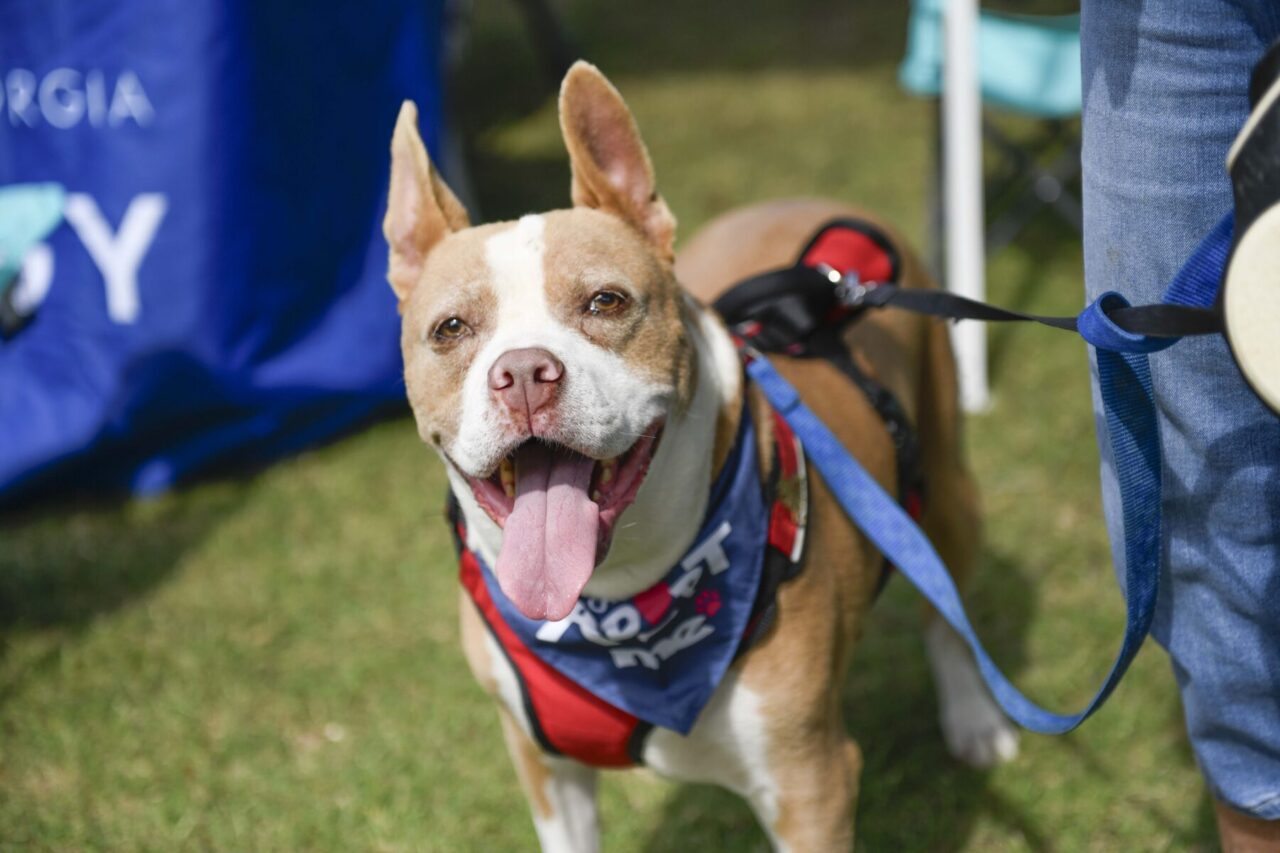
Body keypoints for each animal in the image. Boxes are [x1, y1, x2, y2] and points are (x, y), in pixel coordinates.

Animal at [383, 61, 1018, 851]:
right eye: (450, 329)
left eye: (606, 301)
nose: (525, 372)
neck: (620, 604)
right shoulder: (546, 770)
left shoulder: (810, 784)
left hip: (949, 483)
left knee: (944, 601)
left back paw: (974, 719)